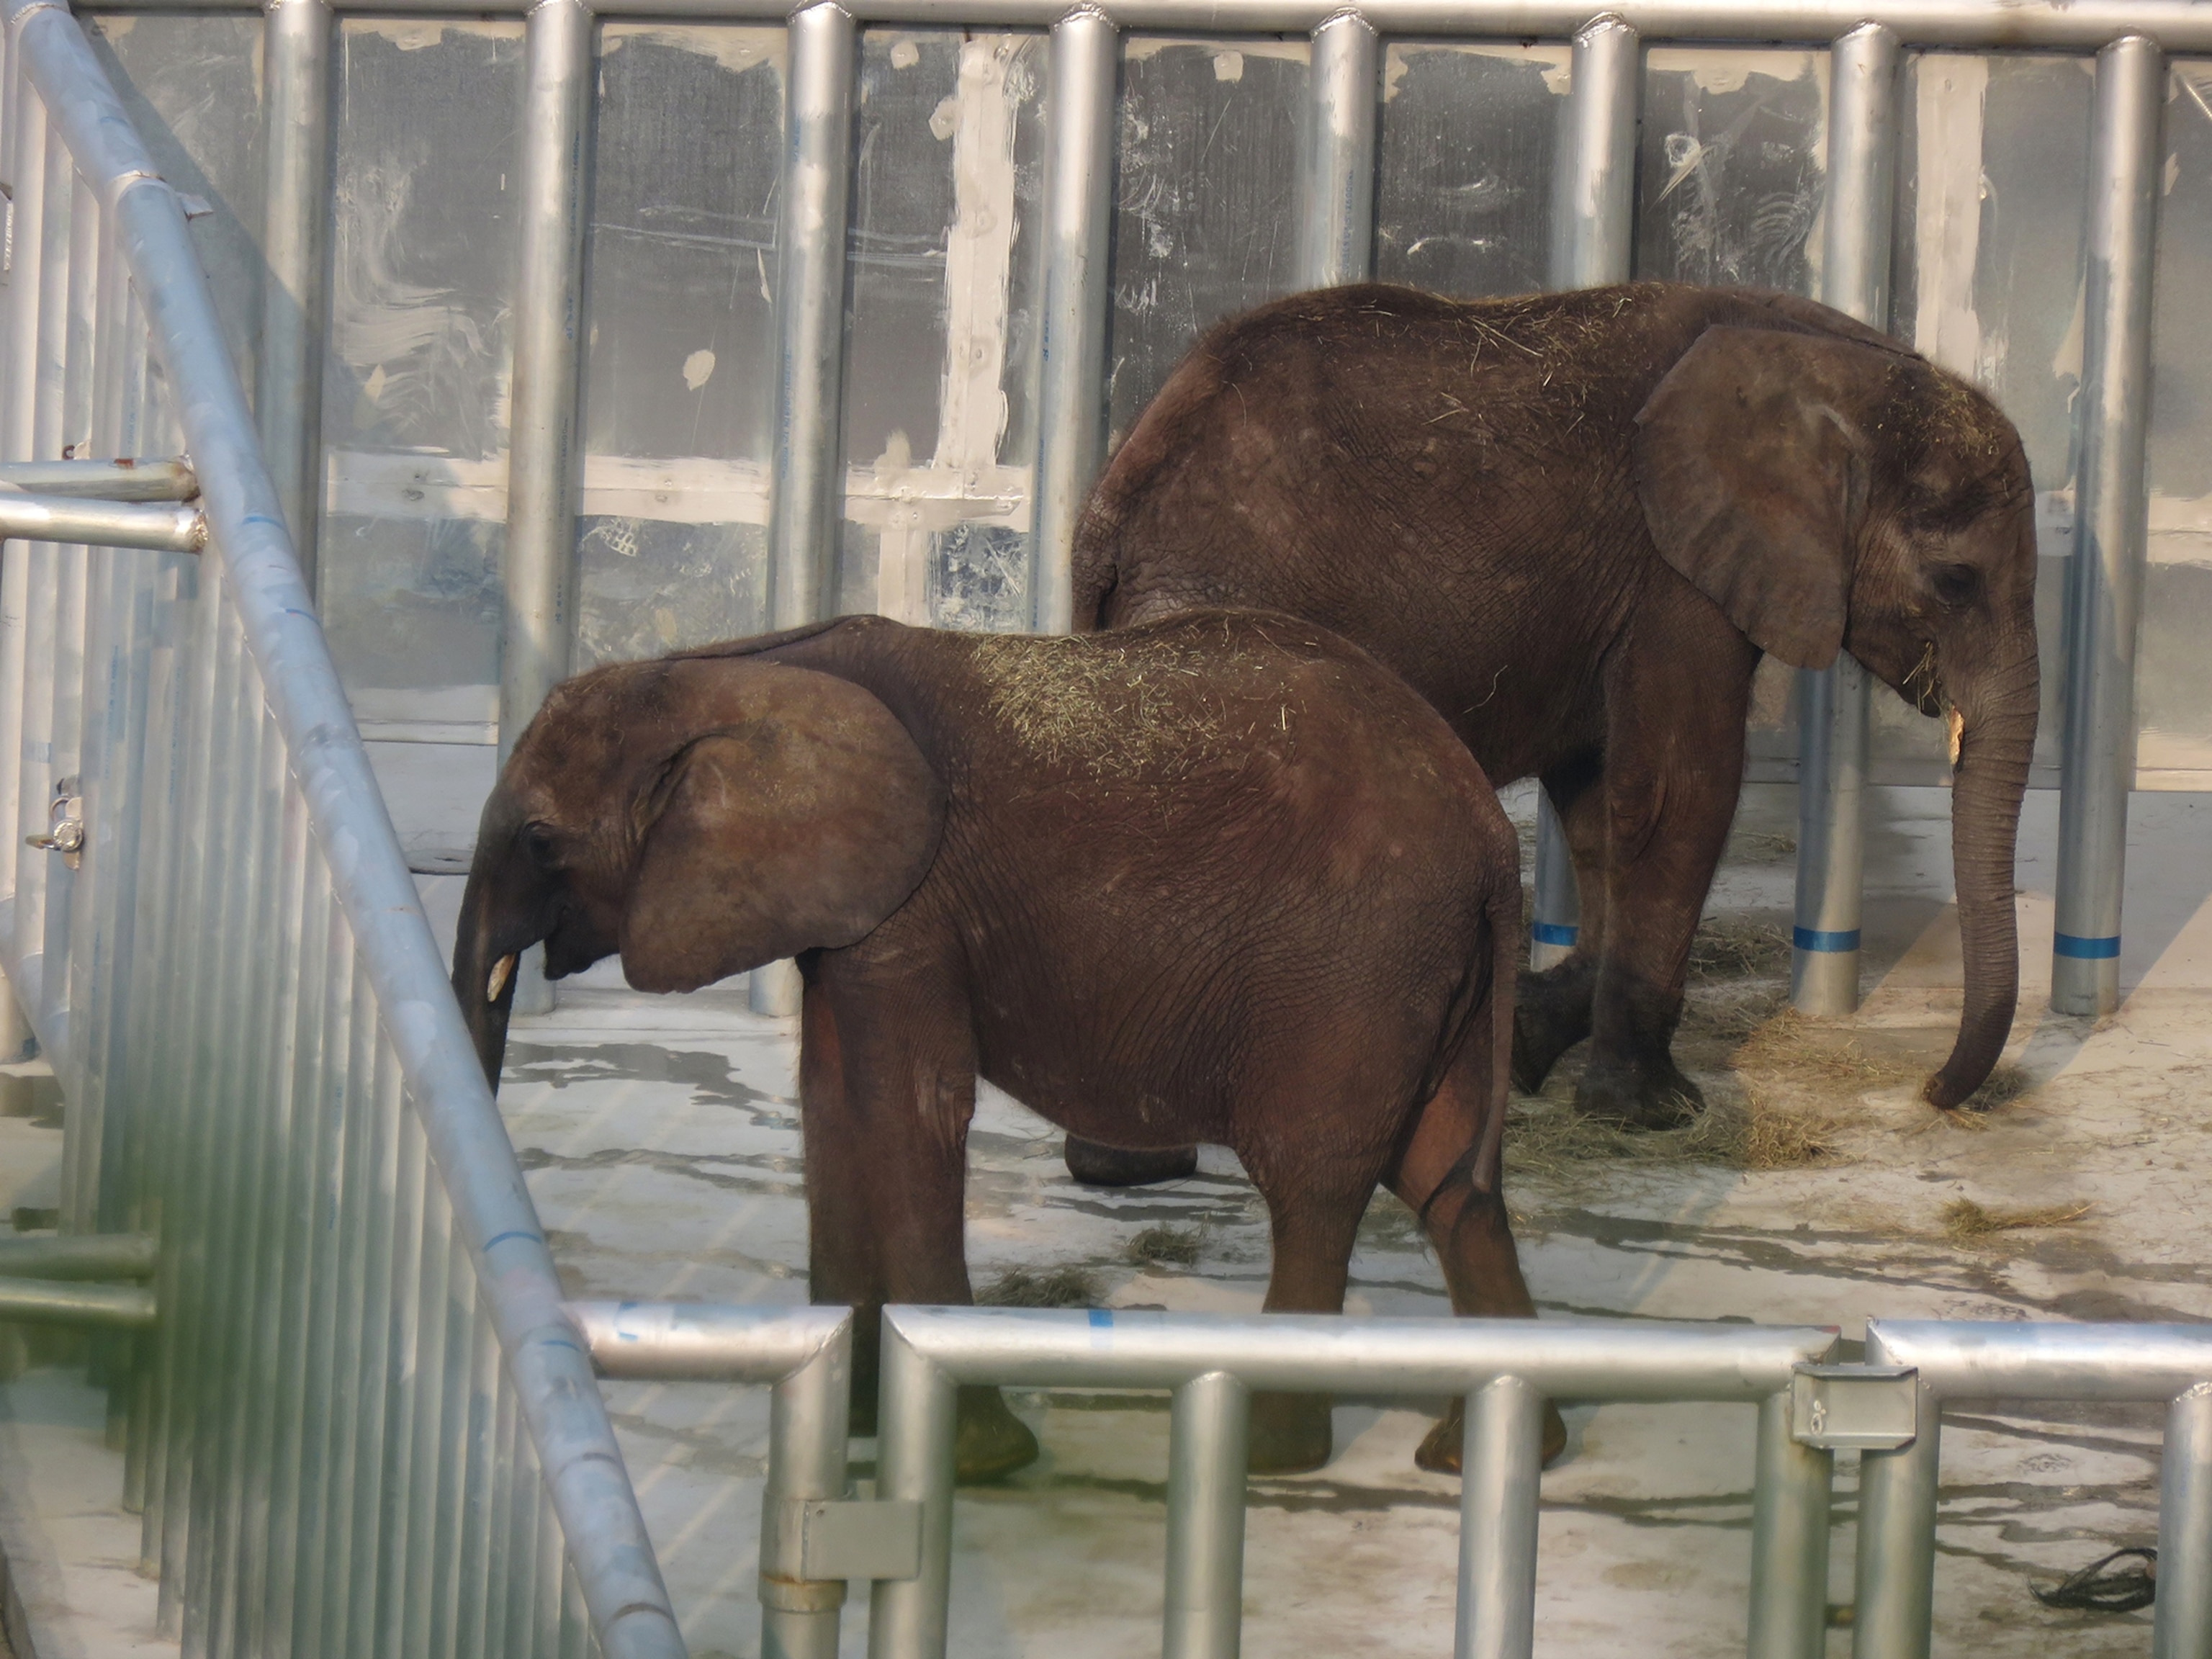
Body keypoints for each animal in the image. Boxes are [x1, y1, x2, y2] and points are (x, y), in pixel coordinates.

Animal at [451, 609, 1566, 1479]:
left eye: (542, 840)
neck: (723, 670)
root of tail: (1487, 825)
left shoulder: (913, 901)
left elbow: (907, 1111)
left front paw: (971, 1458)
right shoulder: (855, 915)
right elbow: (835, 1105)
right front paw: (860, 1430)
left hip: (1352, 969)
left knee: (1315, 1182)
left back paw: (1269, 1455)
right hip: (1421, 973)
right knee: (1447, 1181)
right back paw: (1490, 1451)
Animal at [1061, 280, 2039, 1185]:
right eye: (1956, 581)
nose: (1932, 1092)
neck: (1840, 366)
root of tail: (1115, 501)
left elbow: (1600, 796)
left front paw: (1529, 1040)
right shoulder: (1671, 572)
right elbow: (1679, 788)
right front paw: (1648, 1112)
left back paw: (1127, 1162)